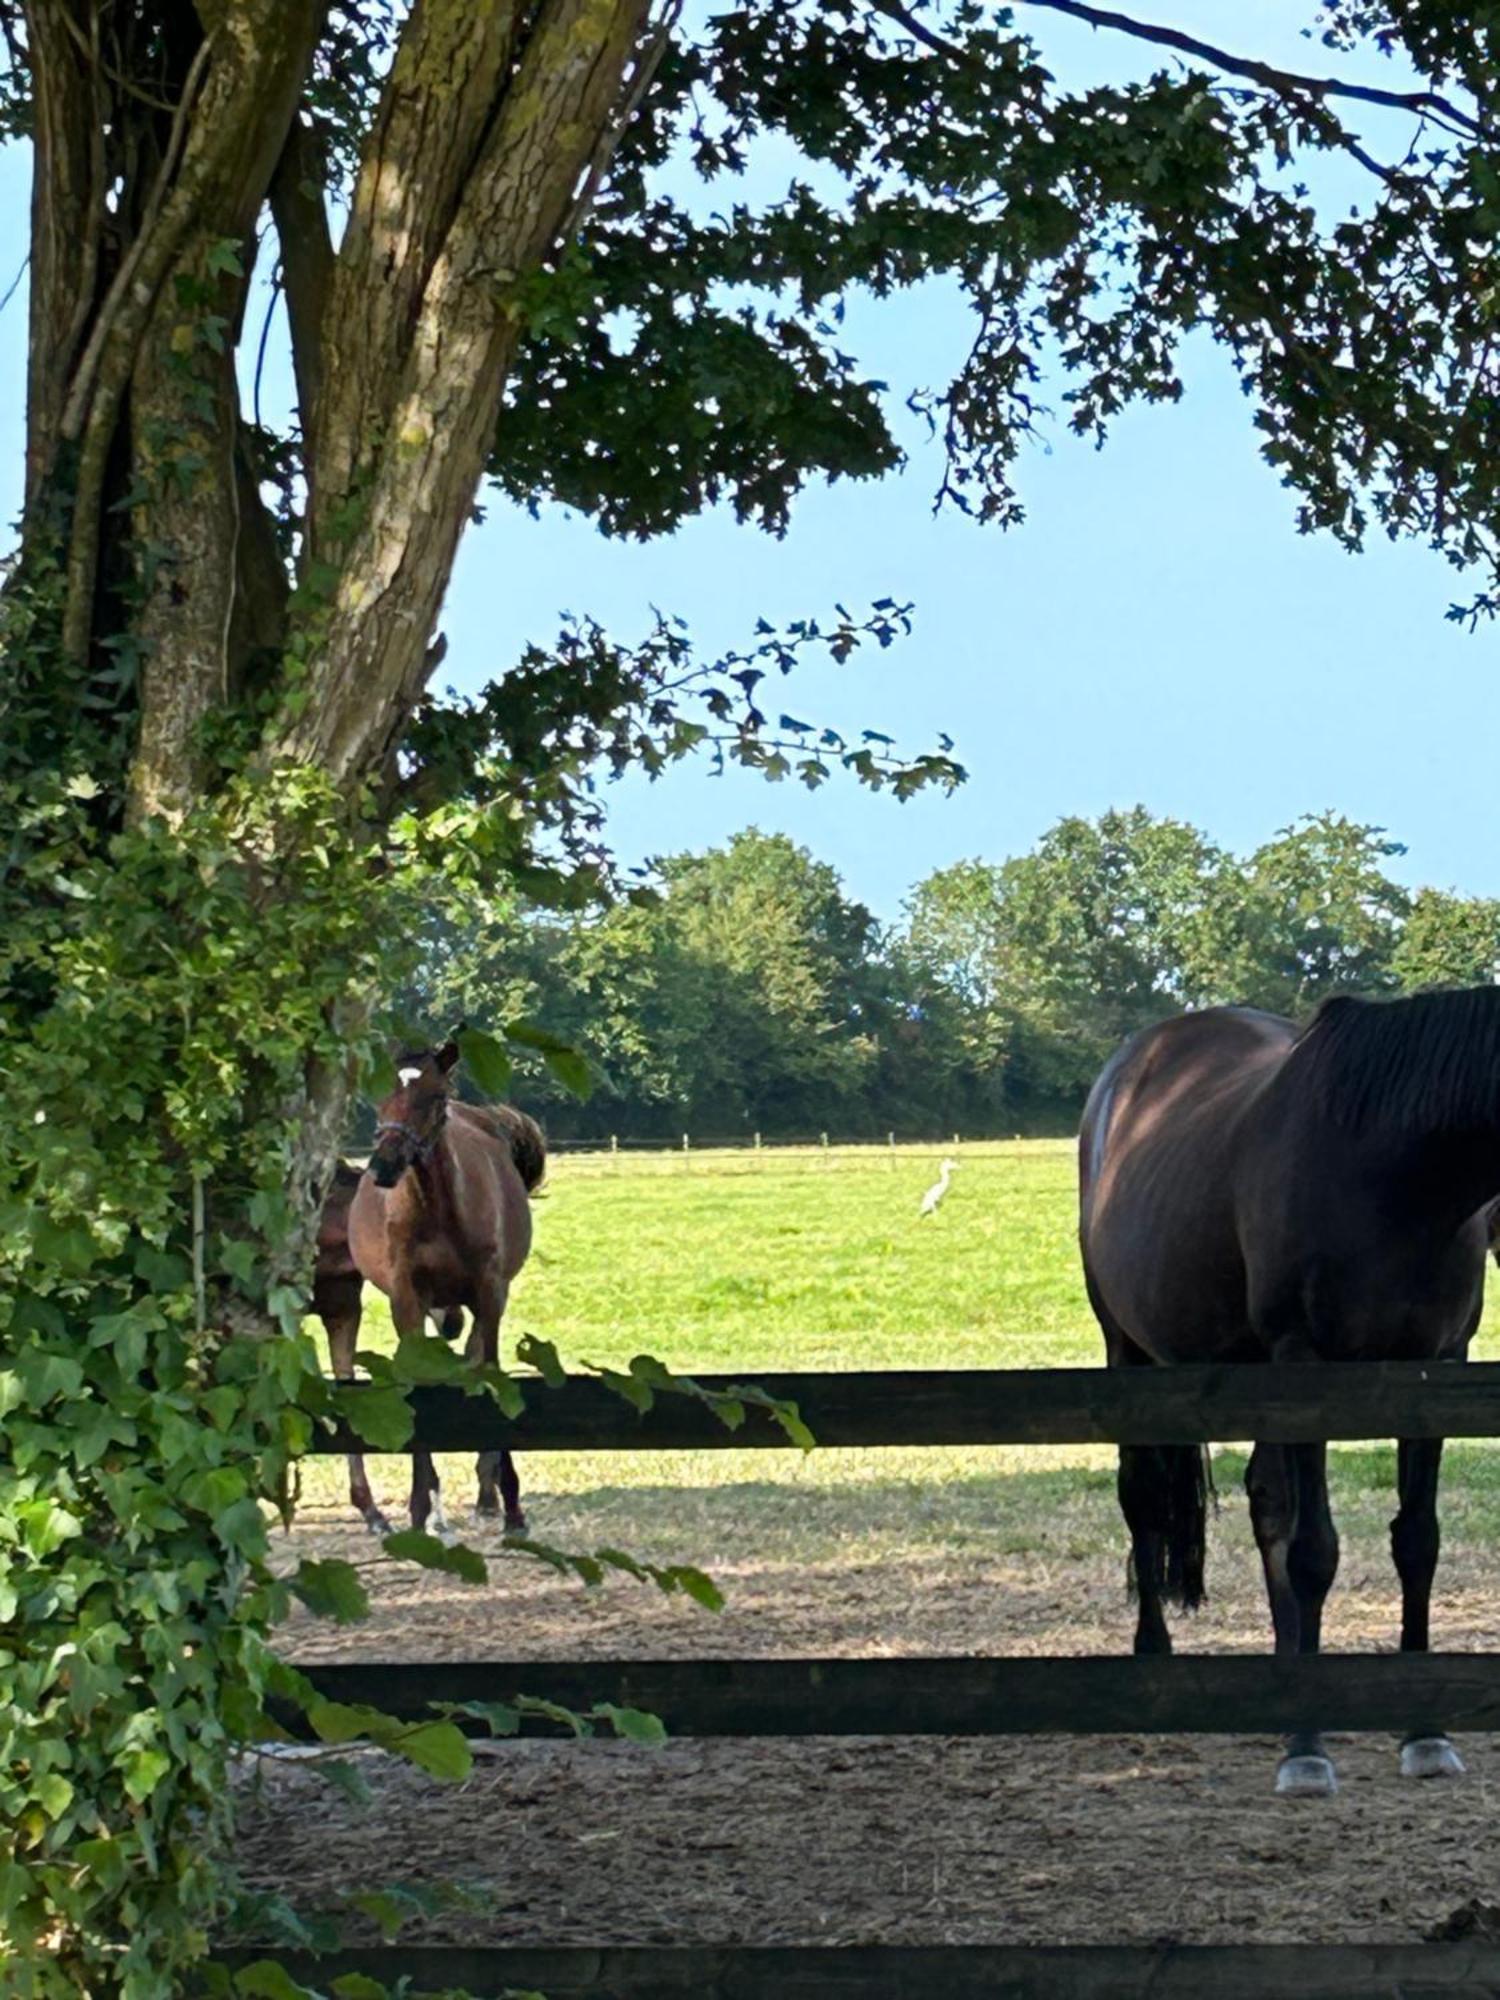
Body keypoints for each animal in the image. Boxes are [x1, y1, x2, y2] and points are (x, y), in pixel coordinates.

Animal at [316, 1056, 548, 1536]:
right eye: (380, 1096)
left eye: (435, 1098)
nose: (385, 1165)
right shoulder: (398, 1302)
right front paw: (420, 1504)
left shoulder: (488, 1294)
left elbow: (490, 1375)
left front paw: (508, 1504)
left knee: (476, 1362)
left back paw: (486, 1495)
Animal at [1072, 996, 1496, 1800]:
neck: (1395, 1172)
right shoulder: (1304, 1364)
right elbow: (1313, 1551)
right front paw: (1307, 1745)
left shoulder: (1435, 1370)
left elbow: (1416, 1543)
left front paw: (1424, 1732)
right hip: (1129, 1350)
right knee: (1142, 1497)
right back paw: (1154, 1658)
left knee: (1265, 1498)